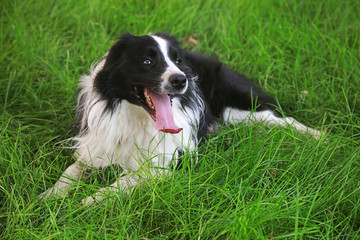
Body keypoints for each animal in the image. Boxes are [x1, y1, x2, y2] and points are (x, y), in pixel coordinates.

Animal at [40, 32, 322, 203]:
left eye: (176, 60)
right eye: (146, 61)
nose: (181, 80)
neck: (137, 117)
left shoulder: (158, 167)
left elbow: (119, 184)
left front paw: (87, 201)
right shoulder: (97, 145)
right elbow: (71, 170)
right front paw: (50, 196)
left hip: (238, 109)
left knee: (278, 119)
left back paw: (318, 136)